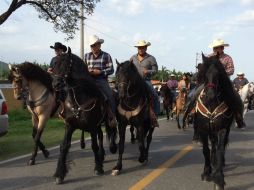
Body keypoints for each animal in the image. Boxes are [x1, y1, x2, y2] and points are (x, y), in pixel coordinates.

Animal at [52, 47, 118, 184]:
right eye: (54, 65)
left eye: (66, 65)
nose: (55, 84)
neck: (78, 99)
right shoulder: (69, 126)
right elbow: (64, 146)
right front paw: (59, 174)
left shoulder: (92, 126)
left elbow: (94, 145)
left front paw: (98, 168)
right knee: (101, 136)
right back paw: (101, 155)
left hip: (107, 121)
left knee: (111, 132)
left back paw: (112, 148)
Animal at [192, 53, 236, 190]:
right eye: (204, 74)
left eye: (218, 74)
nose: (211, 96)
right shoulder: (203, 129)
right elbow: (206, 150)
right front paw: (206, 172)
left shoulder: (222, 129)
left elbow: (220, 149)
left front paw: (219, 177)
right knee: (212, 146)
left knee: (219, 146)